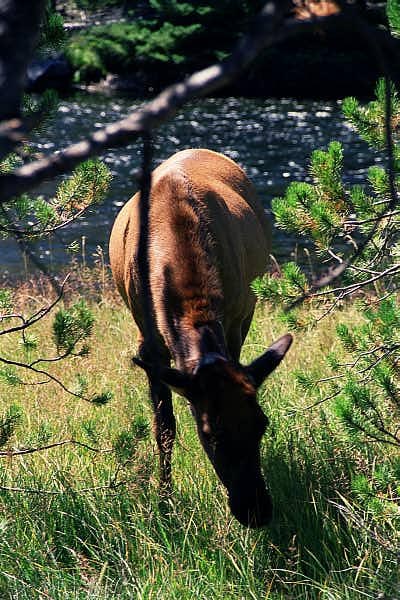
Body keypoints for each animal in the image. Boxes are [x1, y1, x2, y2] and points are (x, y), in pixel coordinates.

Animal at [108, 148, 292, 528]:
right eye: (210, 433)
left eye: (262, 424)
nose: (256, 510)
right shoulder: (148, 341)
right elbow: (164, 427)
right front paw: (164, 503)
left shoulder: (236, 317)